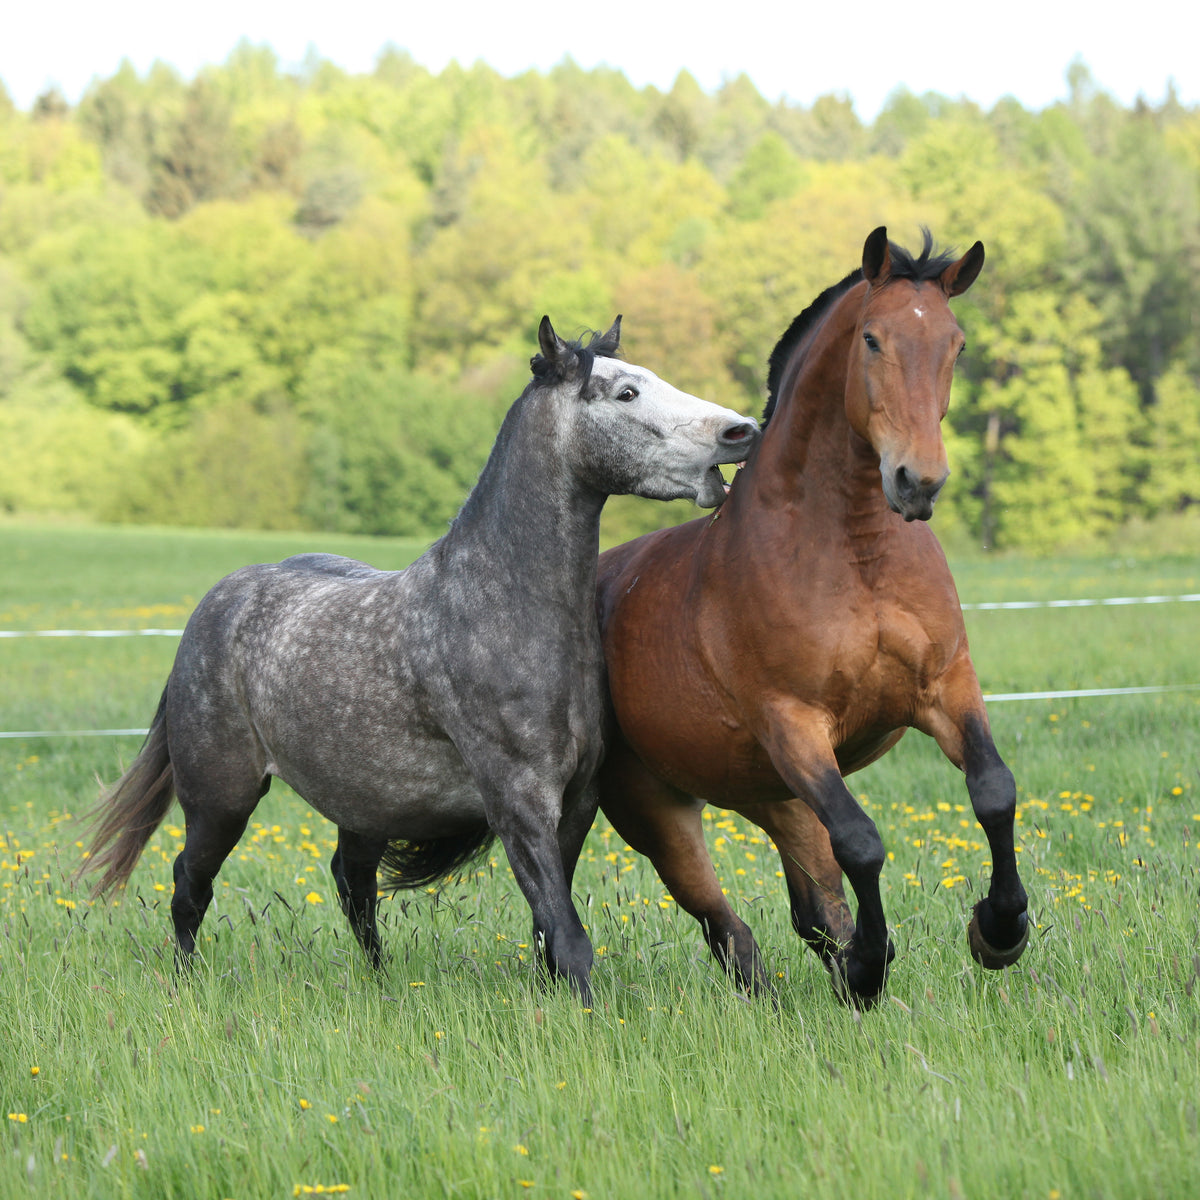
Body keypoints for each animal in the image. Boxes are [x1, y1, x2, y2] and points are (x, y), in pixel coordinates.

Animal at [81, 316, 759, 1004]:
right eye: (626, 392)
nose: (741, 431)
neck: (500, 609)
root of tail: (217, 603)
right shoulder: (518, 802)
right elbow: (568, 937)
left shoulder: (576, 803)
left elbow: (550, 929)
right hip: (221, 799)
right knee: (189, 883)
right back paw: (185, 984)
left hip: (362, 802)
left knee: (352, 885)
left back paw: (380, 983)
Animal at [595, 229, 1030, 1007]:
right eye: (872, 340)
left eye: (956, 343)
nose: (917, 482)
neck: (854, 552)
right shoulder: (794, 725)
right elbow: (863, 842)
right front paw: (872, 966)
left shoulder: (946, 687)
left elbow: (993, 792)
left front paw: (999, 931)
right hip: (657, 809)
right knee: (724, 923)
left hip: (775, 797)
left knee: (811, 905)